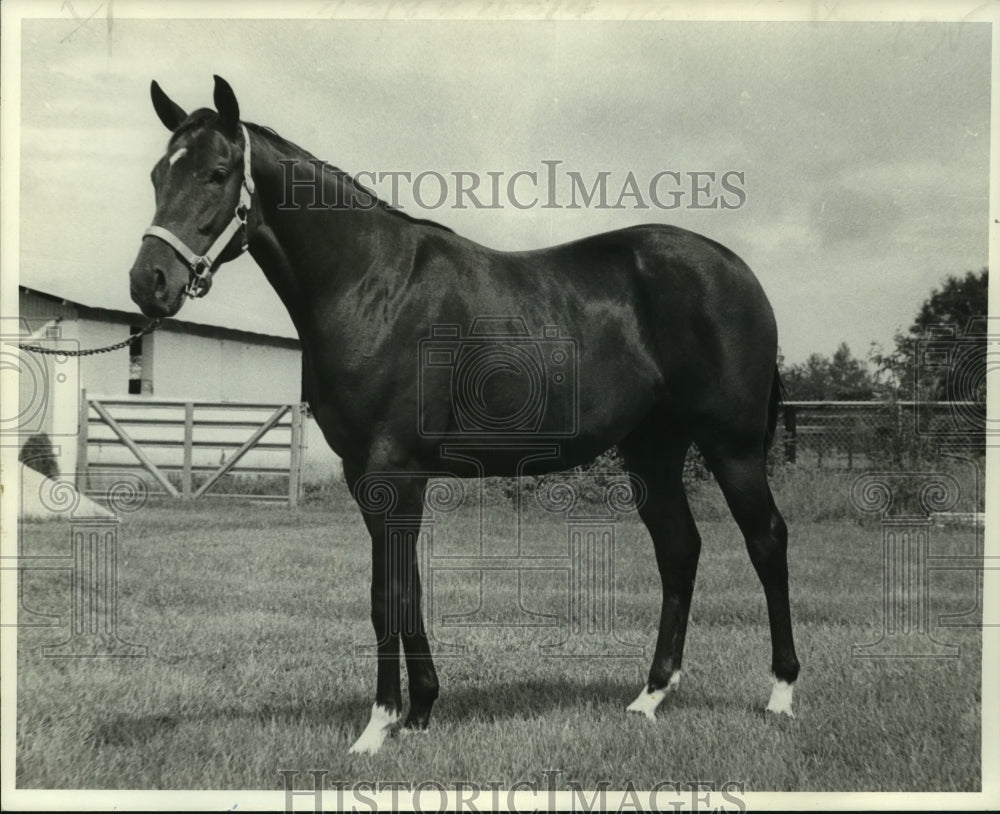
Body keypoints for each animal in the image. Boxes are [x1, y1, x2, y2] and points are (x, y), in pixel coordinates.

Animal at [129, 78, 796, 760]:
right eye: (158, 173)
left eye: (217, 173)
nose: (148, 282)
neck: (371, 285)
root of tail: (737, 270)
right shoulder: (365, 477)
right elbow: (403, 592)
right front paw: (419, 709)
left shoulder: (393, 473)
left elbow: (388, 595)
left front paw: (377, 725)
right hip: (652, 450)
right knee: (679, 549)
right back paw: (651, 696)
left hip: (733, 447)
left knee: (766, 541)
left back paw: (780, 693)